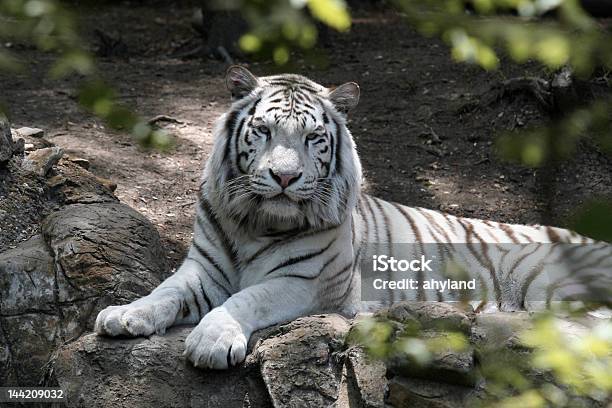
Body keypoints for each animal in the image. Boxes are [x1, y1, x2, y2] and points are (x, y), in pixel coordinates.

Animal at [93, 66, 608, 370]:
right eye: (263, 131)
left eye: (313, 138)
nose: (285, 177)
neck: (256, 222)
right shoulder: (203, 268)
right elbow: (166, 291)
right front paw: (125, 315)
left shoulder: (306, 282)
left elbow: (246, 299)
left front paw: (211, 340)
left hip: (553, 284)